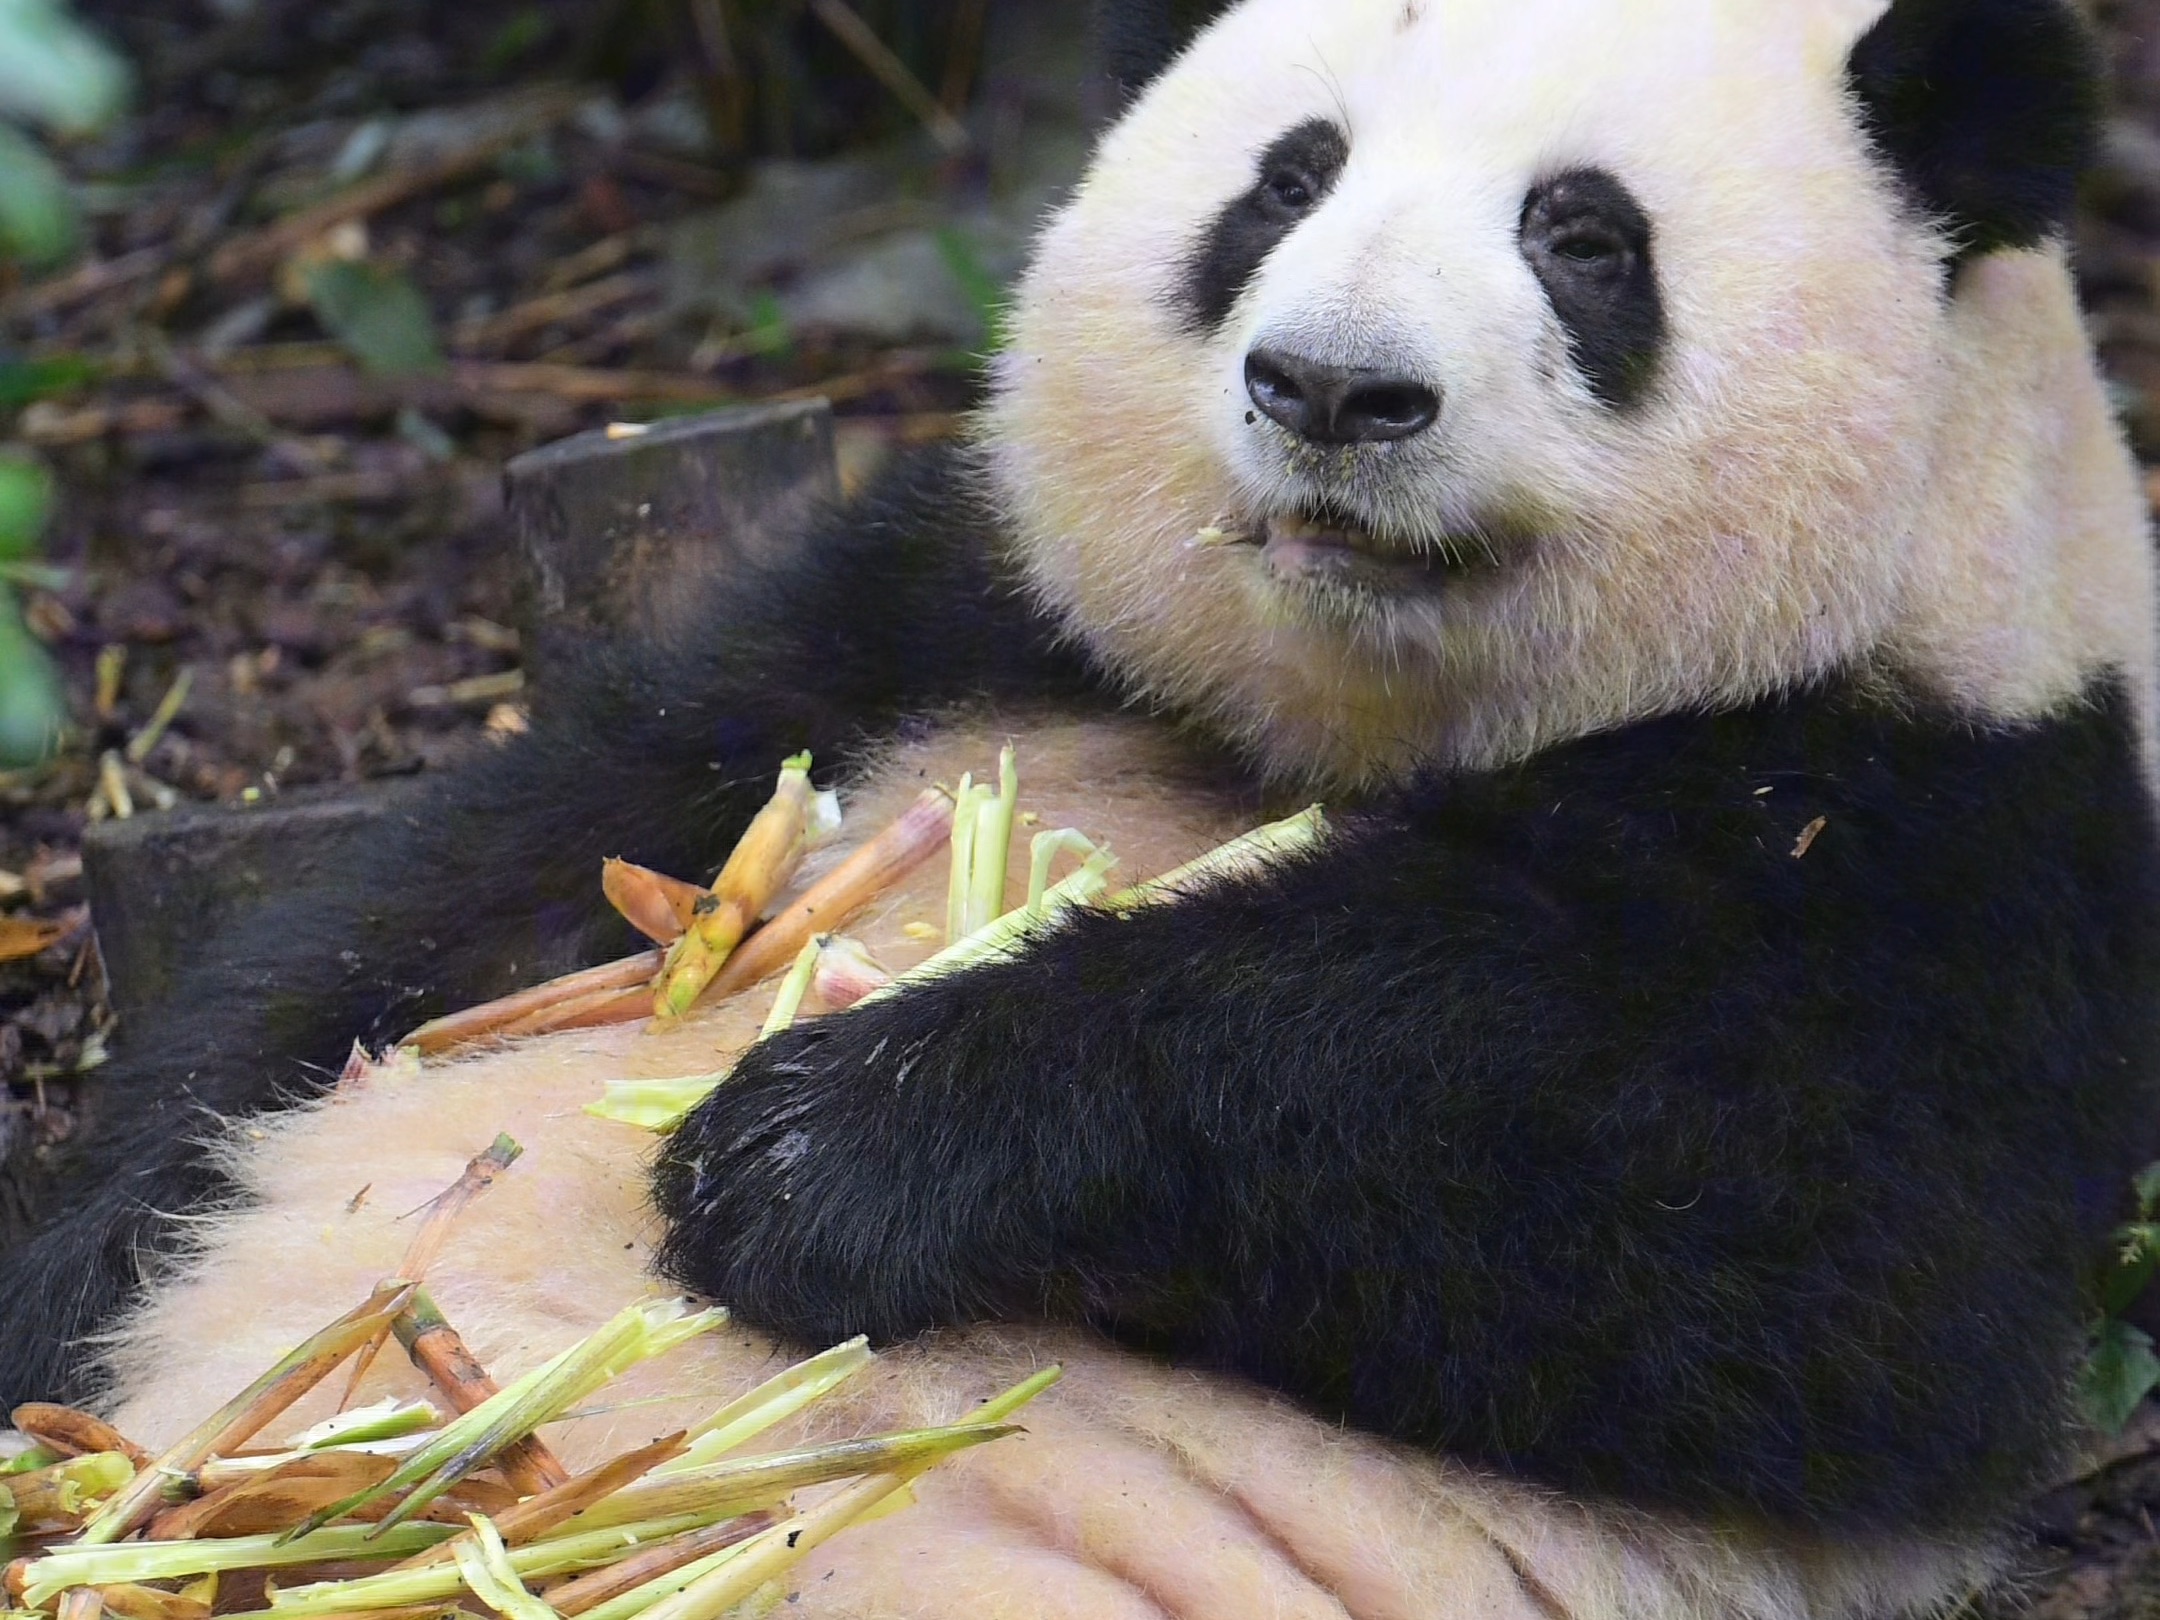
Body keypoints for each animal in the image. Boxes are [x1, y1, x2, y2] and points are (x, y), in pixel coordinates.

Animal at [4, 0, 2160, 1615]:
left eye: (1585, 235)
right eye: (1286, 179)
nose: (1331, 389)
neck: (1345, 720)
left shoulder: (1963, 839)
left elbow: (1792, 1240)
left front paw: (814, 1152)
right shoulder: (954, 611)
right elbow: (509, 867)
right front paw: (81, 1242)